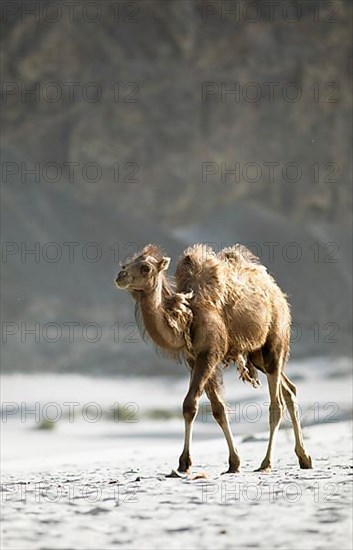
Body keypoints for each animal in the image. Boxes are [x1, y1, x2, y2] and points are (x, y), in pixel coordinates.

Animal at [115, 245, 310, 474]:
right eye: (125, 264)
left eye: (145, 268)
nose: (120, 276)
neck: (187, 317)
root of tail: (277, 291)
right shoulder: (194, 359)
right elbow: (218, 409)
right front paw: (234, 462)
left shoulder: (209, 353)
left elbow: (189, 405)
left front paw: (184, 462)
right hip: (256, 355)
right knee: (289, 390)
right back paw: (304, 458)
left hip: (275, 340)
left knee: (276, 403)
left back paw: (266, 463)